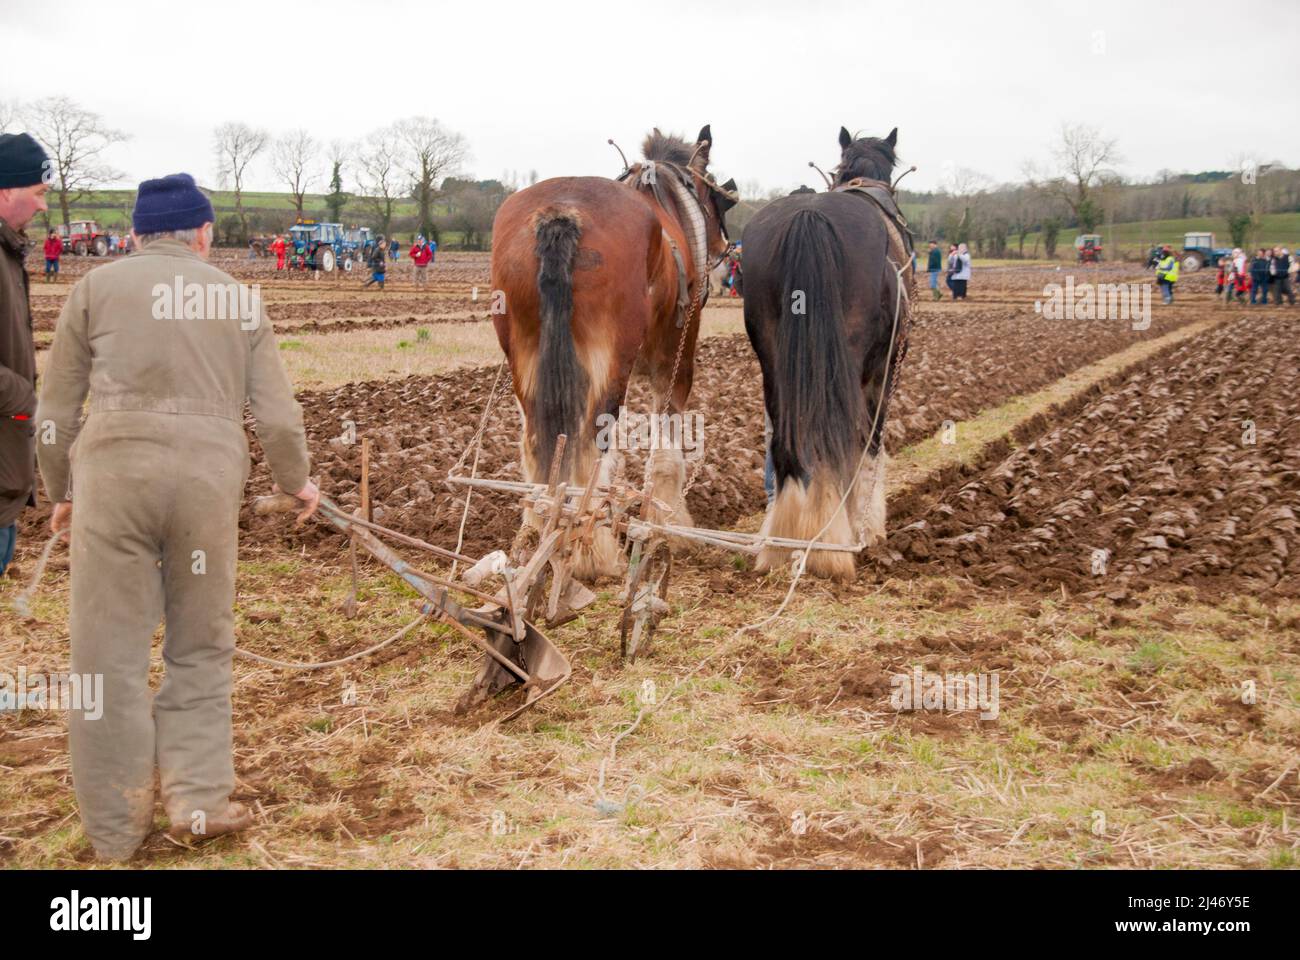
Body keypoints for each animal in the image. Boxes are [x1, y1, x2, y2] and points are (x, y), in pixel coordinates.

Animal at [488, 127, 738, 574]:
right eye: (718, 196)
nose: (725, 257)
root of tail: (560, 213)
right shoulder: (676, 359)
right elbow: (665, 448)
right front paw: (667, 524)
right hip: (610, 365)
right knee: (591, 445)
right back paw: (595, 553)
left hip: (525, 361)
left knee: (538, 443)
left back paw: (536, 532)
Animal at [743, 126, 915, 574]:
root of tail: (810, 215)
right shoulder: (883, 371)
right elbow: (869, 446)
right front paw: (869, 528)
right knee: (838, 443)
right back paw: (834, 545)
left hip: (773, 364)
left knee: (786, 449)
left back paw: (779, 542)